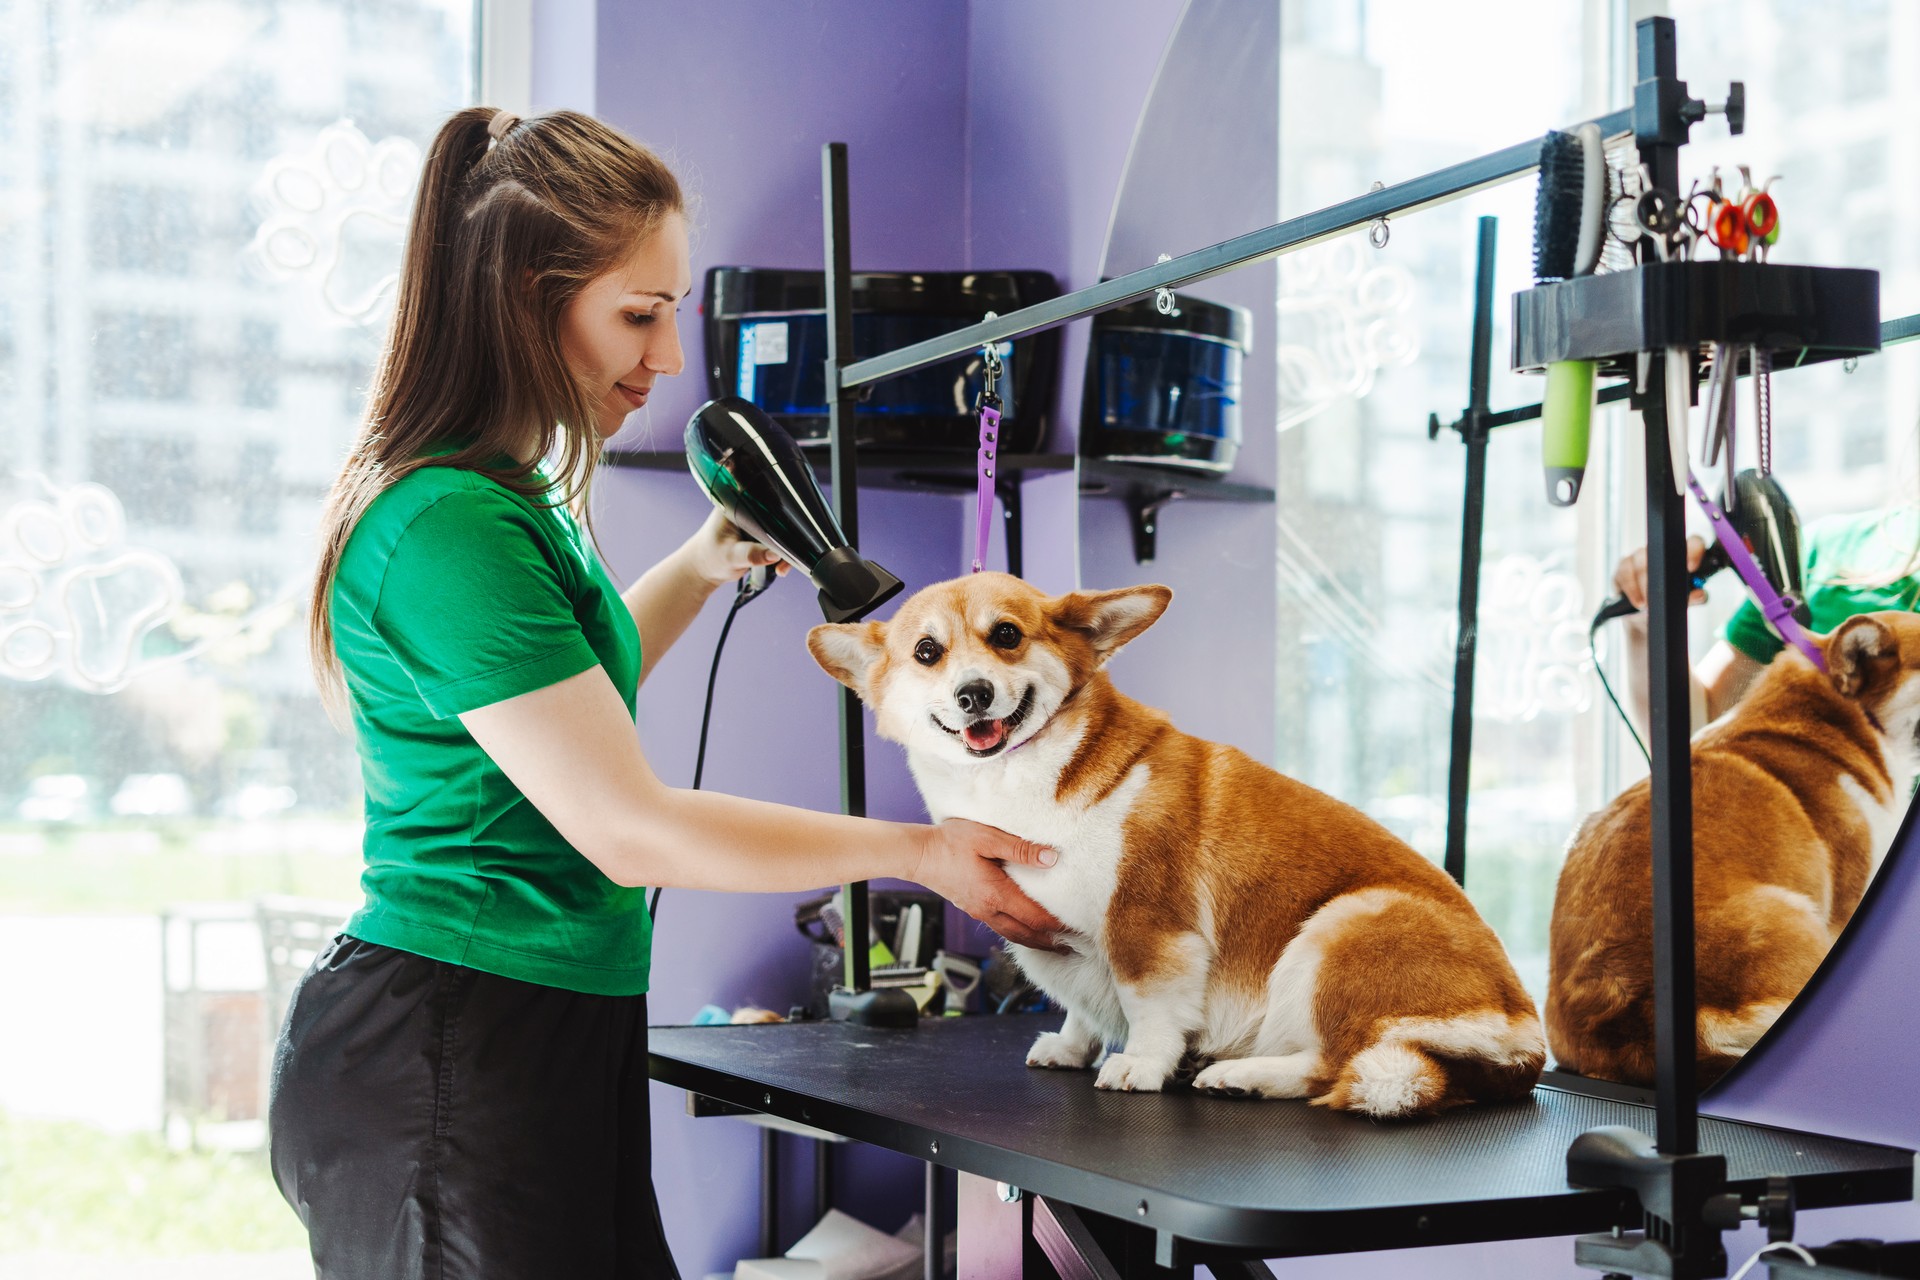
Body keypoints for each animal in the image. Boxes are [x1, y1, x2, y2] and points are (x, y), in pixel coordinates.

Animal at [806, 575, 1543, 1113]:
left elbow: (1149, 1006)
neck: (1017, 781)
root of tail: (1522, 1038)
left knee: (1338, 1064)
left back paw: (1241, 1075)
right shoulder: (1066, 945)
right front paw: (1072, 1048)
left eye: (1006, 635)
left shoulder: (1147, 928)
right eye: (927, 652)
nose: (974, 693)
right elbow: (1082, 1006)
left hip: (1342, 925)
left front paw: (1141, 1064)